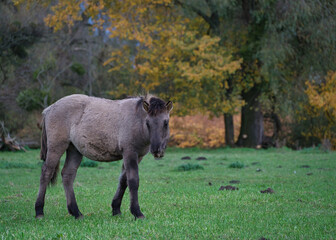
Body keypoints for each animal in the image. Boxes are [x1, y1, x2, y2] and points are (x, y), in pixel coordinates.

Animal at [34, 94, 173, 219]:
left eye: (166, 123)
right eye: (148, 123)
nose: (157, 150)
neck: (136, 119)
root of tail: (49, 109)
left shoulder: (137, 156)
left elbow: (123, 181)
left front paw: (116, 209)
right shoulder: (130, 153)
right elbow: (133, 181)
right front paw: (137, 213)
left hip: (74, 150)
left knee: (68, 175)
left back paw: (76, 212)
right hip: (56, 147)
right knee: (46, 173)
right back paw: (39, 211)